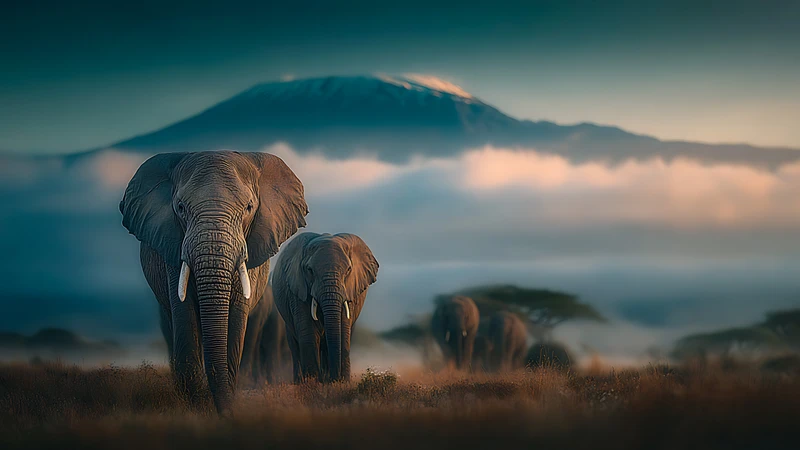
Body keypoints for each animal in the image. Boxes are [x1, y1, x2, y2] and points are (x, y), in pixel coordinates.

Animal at [119, 151, 308, 413]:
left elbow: (236, 316)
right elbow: (184, 313)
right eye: (180, 207)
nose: (226, 413)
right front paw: (196, 404)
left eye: (249, 207)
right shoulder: (173, 246)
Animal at [272, 232, 379, 383]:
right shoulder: (297, 289)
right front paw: (313, 382)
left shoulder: (350, 289)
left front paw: (340, 383)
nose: (335, 378)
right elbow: (308, 330)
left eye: (348, 270)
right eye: (310, 270)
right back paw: (301, 381)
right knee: (295, 346)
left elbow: (343, 329)